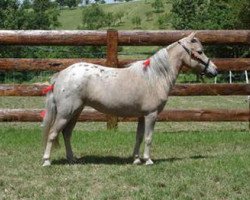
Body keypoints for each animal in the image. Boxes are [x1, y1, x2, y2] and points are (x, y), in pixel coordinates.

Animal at [41, 32, 217, 166]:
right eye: (200, 51)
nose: (215, 70)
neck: (154, 77)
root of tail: (61, 74)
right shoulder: (151, 115)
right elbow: (148, 138)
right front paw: (148, 160)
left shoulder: (142, 116)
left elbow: (139, 137)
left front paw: (137, 159)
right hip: (65, 113)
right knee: (53, 133)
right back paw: (47, 161)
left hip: (75, 112)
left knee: (66, 134)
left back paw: (72, 159)